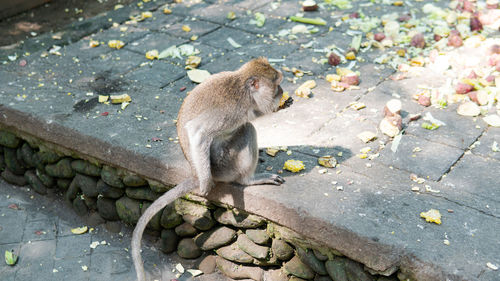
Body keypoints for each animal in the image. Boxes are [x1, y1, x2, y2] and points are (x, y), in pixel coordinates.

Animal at [132, 57, 292, 280]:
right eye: (277, 85)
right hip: (225, 165)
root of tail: (194, 172)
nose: (282, 91)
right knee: (247, 129)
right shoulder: (231, 110)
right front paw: (206, 185)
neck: (243, 90)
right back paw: (246, 179)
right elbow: (198, 132)